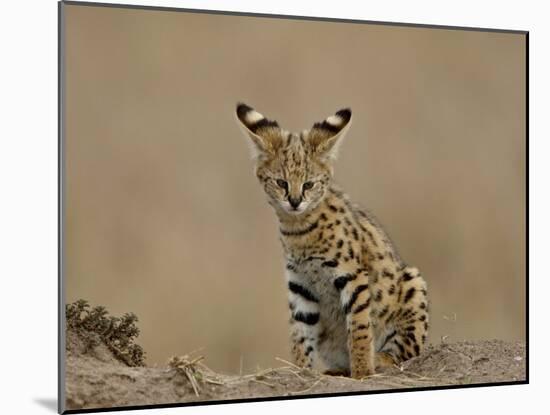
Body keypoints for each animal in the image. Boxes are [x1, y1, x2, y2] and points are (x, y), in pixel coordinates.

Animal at [235, 102, 430, 378]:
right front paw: (300, 372)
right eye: (281, 182)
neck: (298, 230)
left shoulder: (353, 275)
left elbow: (359, 328)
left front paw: (362, 372)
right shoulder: (300, 283)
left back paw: (379, 359)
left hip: (413, 283)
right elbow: (300, 334)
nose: (294, 201)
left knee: (406, 351)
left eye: (308, 184)